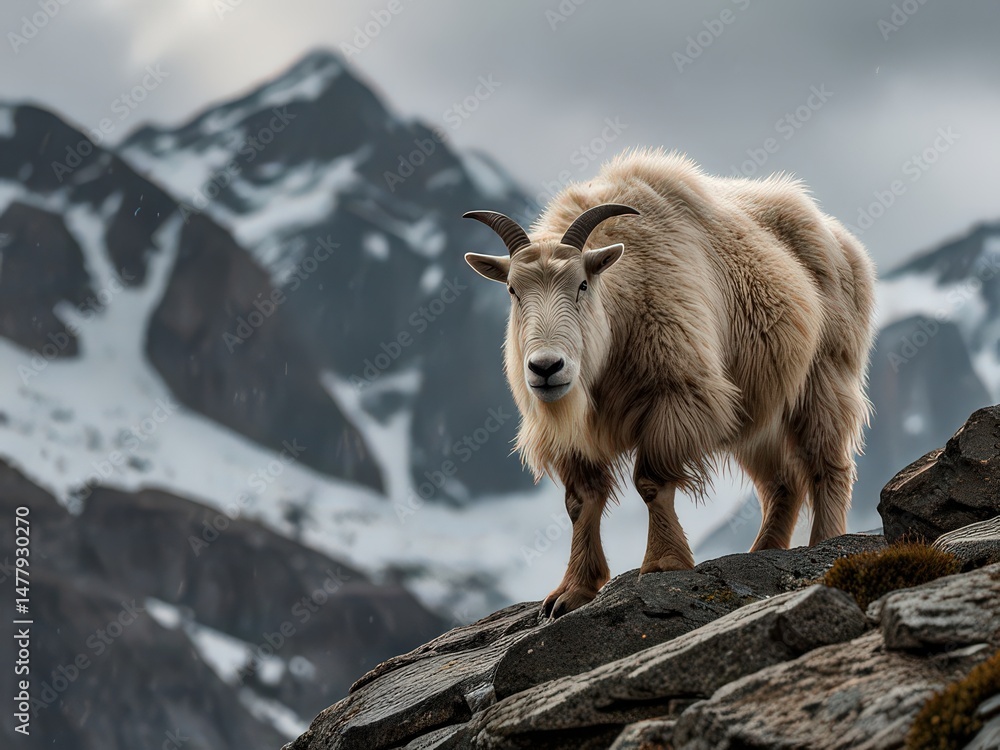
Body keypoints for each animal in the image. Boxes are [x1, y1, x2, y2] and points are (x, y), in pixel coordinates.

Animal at [464, 149, 876, 618]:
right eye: (513, 290)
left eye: (582, 284)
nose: (546, 368)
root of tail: (844, 243)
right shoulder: (573, 435)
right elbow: (580, 502)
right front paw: (571, 591)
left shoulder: (676, 397)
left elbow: (651, 482)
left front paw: (663, 563)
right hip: (760, 408)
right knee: (782, 483)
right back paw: (763, 550)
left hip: (825, 377)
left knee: (828, 464)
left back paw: (825, 542)